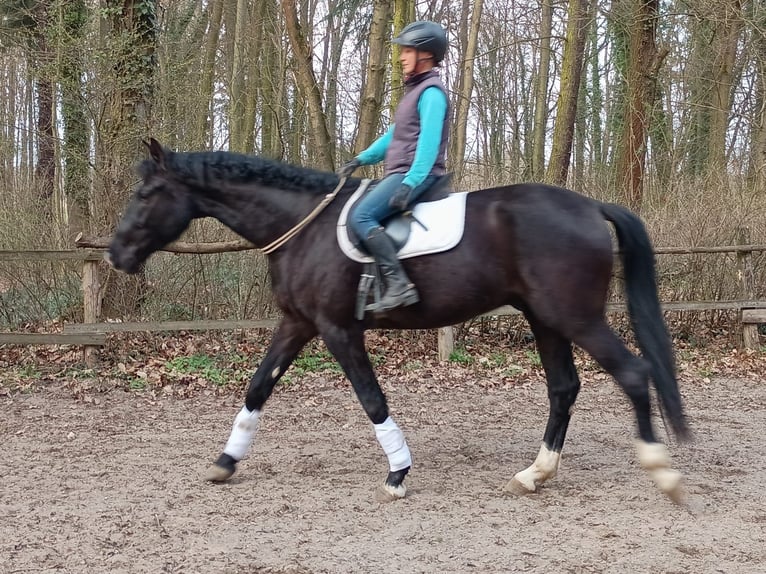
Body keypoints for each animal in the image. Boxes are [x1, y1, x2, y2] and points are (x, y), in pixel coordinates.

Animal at [108, 138, 689, 502]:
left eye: (146, 194)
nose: (116, 254)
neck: (302, 229)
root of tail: (591, 206)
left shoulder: (337, 329)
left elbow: (372, 399)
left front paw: (397, 472)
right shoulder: (297, 323)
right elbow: (257, 388)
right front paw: (226, 461)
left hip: (575, 316)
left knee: (633, 373)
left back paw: (663, 473)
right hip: (546, 319)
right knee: (564, 388)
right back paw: (534, 475)